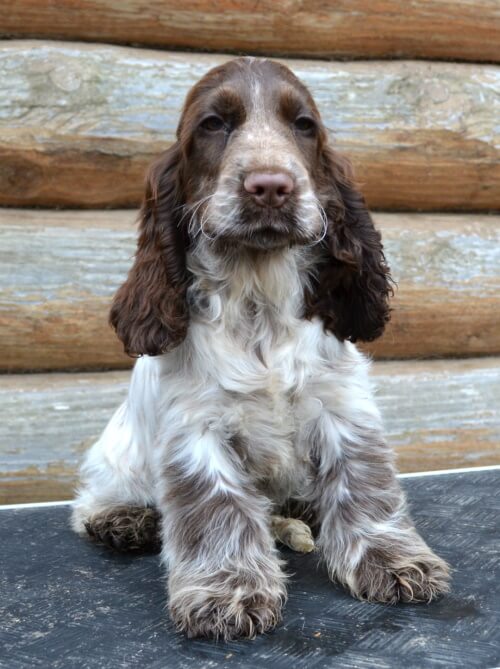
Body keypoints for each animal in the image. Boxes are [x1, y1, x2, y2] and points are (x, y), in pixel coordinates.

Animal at [72, 60, 452, 640]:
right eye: (212, 125)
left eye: (303, 125)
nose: (270, 186)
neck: (258, 299)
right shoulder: (198, 428)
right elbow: (218, 508)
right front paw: (227, 592)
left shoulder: (341, 406)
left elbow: (364, 483)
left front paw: (391, 560)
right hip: (116, 454)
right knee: (94, 494)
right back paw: (123, 520)